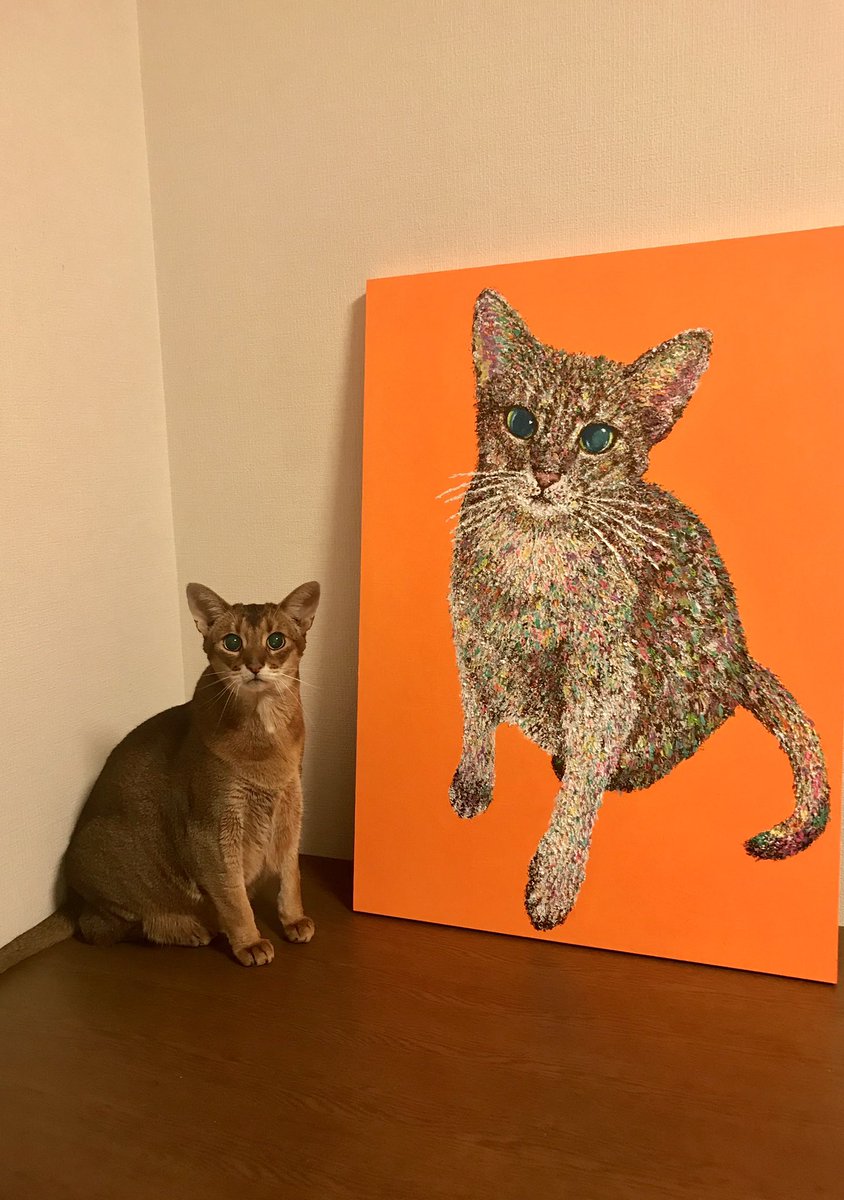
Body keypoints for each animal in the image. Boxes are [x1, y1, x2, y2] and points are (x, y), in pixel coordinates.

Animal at [0, 580, 320, 973]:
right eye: (232, 642)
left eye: (276, 640)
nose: (255, 665)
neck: (264, 737)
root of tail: (73, 899)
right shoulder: (212, 830)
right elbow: (233, 896)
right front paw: (249, 941)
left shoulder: (290, 805)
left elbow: (291, 874)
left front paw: (293, 920)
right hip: (118, 859)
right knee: (99, 928)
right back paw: (186, 929)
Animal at [447, 289, 829, 932]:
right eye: (520, 422)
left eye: (597, 438)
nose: (545, 475)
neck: (532, 564)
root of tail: (743, 659)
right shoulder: (471, 644)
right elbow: (477, 718)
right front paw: (474, 780)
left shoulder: (605, 690)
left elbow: (580, 792)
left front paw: (554, 880)